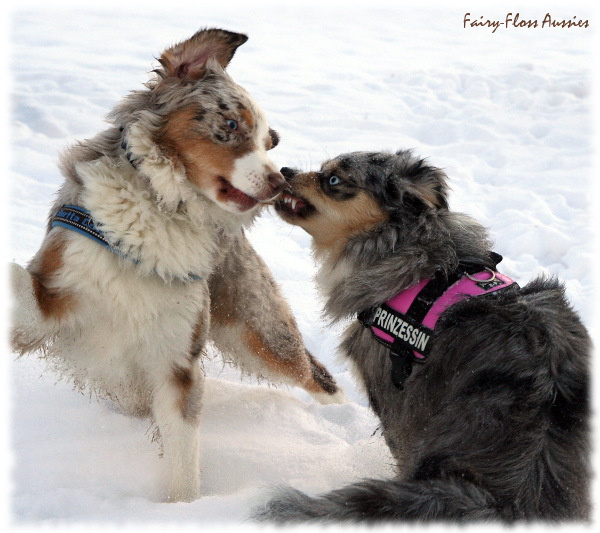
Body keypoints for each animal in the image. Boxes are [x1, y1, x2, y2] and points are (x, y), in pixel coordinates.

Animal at [9, 29, 344, 502]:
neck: (162, 208)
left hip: (257, 331)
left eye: (270, 142)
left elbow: (184, 457)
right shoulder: (46, 306)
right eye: (231, 125)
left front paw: (182, 508)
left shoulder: (176, 360)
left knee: (316, 375)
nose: (281, 183)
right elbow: (20, 283)